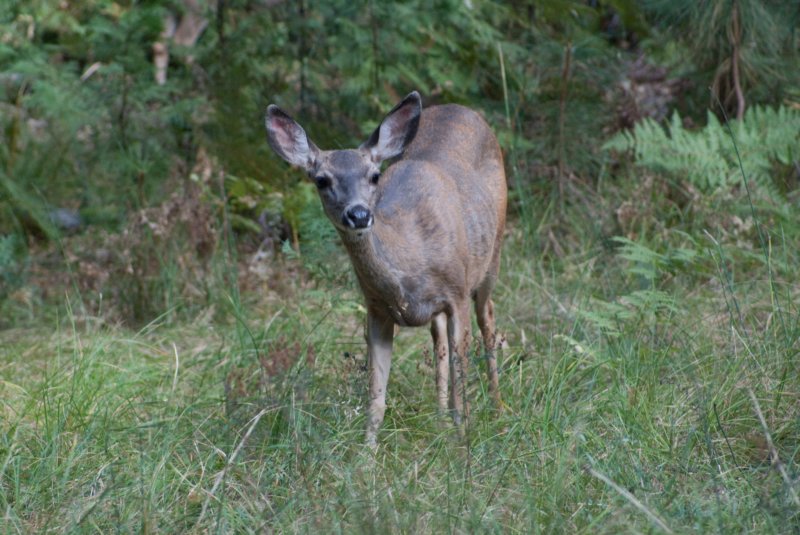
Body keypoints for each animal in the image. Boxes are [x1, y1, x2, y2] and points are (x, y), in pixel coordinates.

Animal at [268, 92, 506, 448]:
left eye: (374, 175)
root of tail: (462, 109)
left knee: (488, 318)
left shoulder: (457, 294)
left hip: (491, 254)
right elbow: (376, 399)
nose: (358, 214)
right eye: (321, 180)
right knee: (438, 339)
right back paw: (438, 417)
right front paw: (366, 454)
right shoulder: (377, 309)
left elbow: (461, 387)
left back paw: (498, 407)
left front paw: (463, 442)